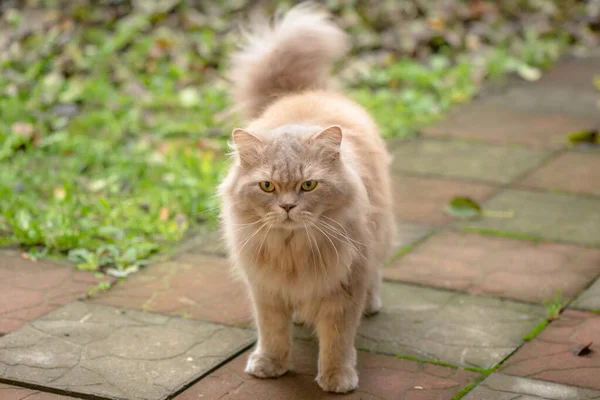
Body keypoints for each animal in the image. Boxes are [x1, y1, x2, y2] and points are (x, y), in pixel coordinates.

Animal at [218, 1, 396, 392]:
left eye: (309, 186)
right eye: (268, 186)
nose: (287, 206)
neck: (293, 252)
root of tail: (303, 92)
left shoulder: (345, 287)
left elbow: (337, 340)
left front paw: (336, 378)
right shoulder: (266, 290)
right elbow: (272, 333)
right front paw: (270, 364)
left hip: (378, 233)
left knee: (377, 270)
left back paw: (372, 305)